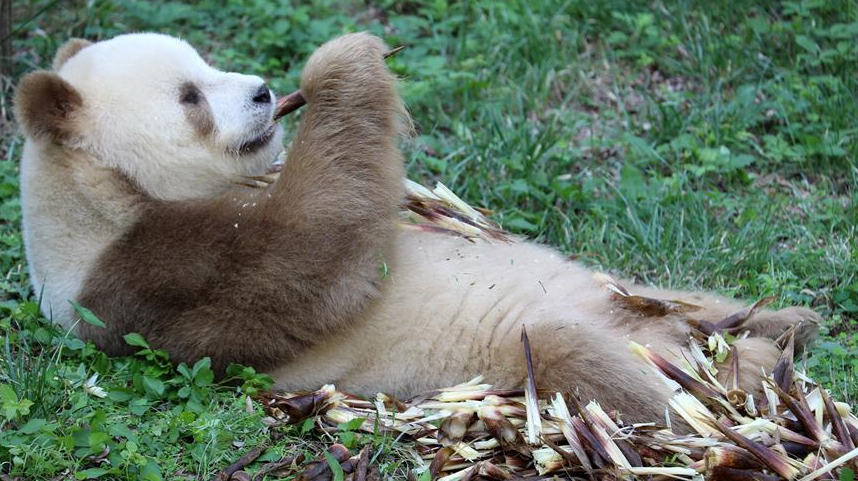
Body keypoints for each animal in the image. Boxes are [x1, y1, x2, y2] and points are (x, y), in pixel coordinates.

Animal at [13, 31, 816, 422]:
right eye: (189, 96)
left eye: (206, 65)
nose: (267, 93)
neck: (99, 193)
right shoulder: (144, 277)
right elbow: (309, 260)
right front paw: (343, 62)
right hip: (511, 355)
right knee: (589, 364)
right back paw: (716, 384)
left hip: (616, 287)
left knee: (666, 296)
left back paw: (784, 324)